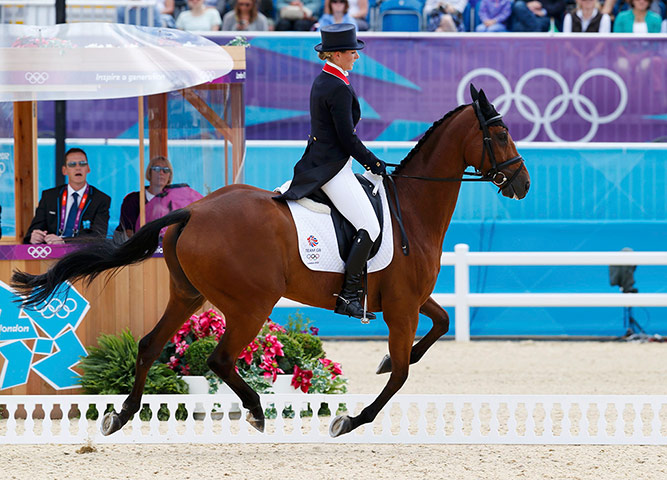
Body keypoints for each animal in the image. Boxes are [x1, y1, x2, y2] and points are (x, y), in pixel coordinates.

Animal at [11, 84, 532, 436]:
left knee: (148, 345)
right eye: (502, 133)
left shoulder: (410, 300)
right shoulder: (401, 308)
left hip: (188, 295)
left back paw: (120, 416)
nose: (523, 184)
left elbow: (442, 324)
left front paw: (382, 362)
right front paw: (350, 419)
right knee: (219, 359)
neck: (413, 208)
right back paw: (257, 411)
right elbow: (404, 374)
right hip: (251, 303)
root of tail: (194, 209)